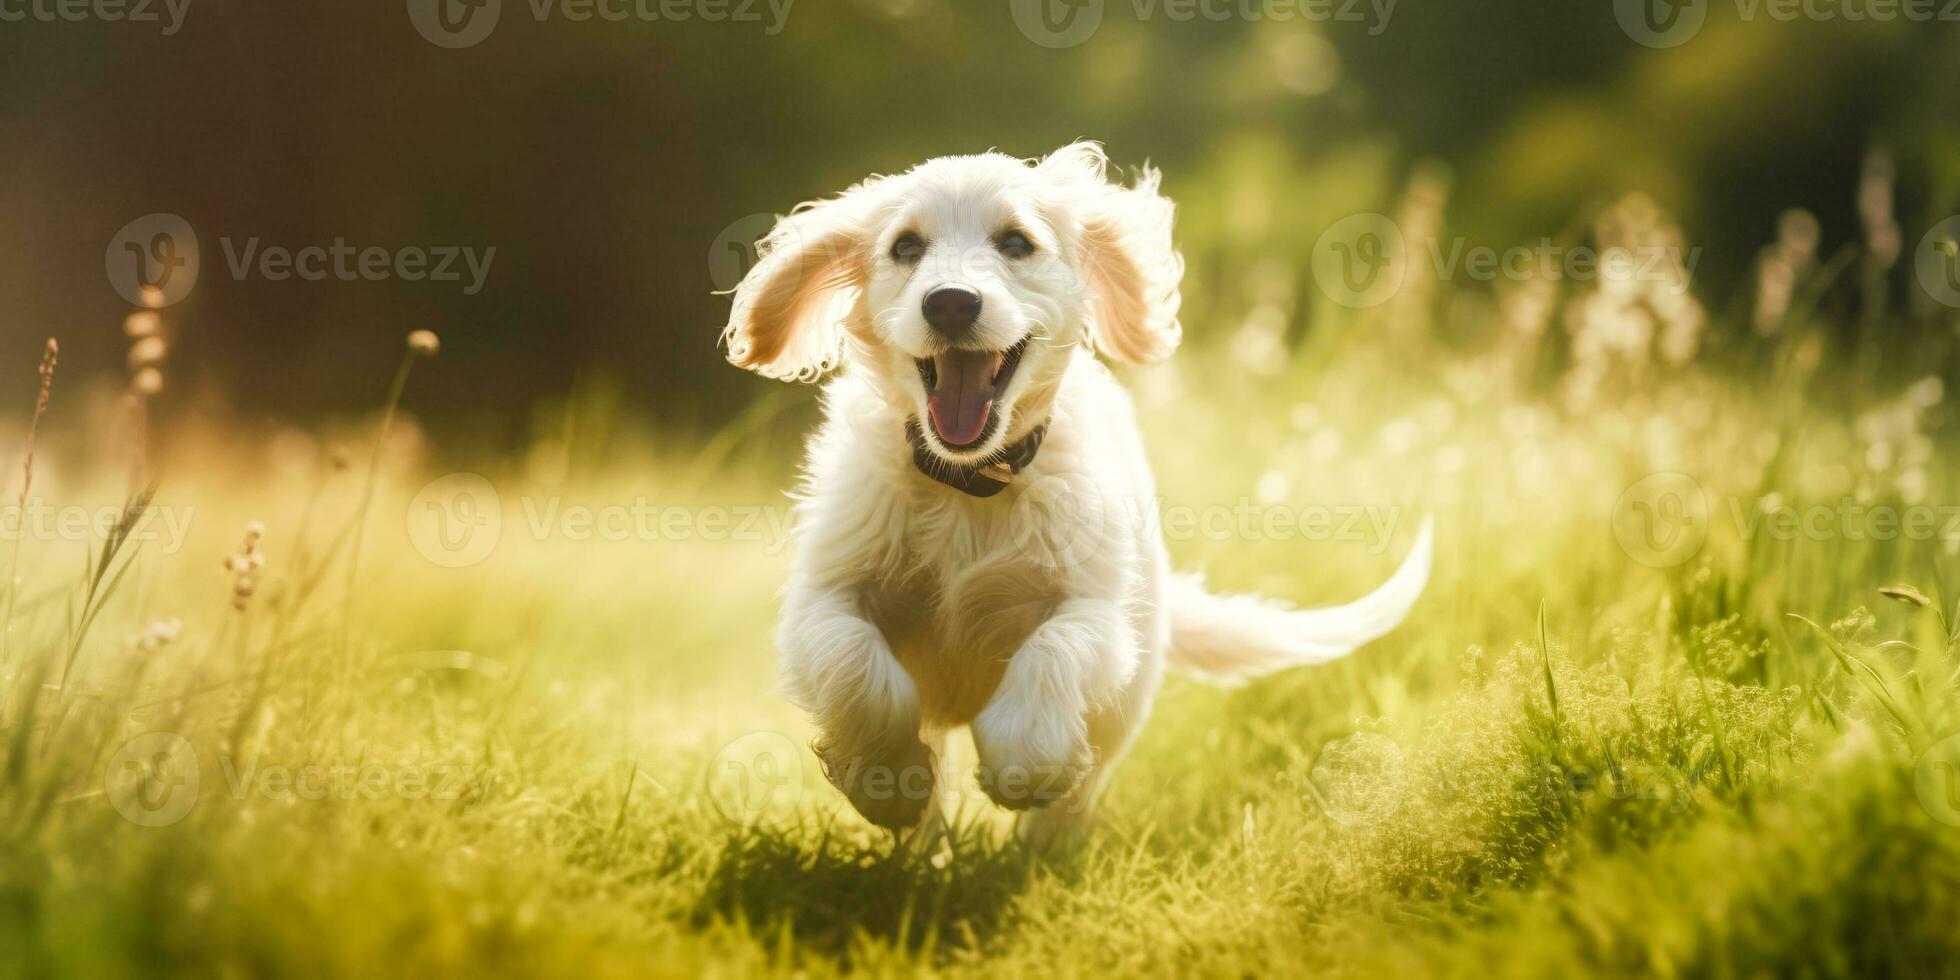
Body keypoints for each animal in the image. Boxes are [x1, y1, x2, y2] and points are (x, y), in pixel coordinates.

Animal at [717, 142, 1426, 838]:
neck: (969, 485)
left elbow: (1055, 651)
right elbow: (856, 666)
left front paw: (1022, 761)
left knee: (1078, 792)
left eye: (1015, 242)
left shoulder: (1097, 609)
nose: (950, 302)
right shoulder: (824, 596)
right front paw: (885, 777)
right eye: (906, 247)